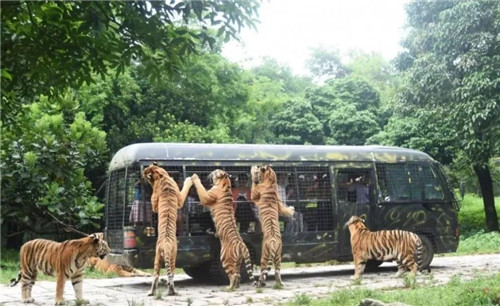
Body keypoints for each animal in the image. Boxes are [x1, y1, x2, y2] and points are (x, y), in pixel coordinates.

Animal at [144, 165, 194, 296]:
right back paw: (171, 292)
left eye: (147, 168)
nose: (143, 171)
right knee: (170, 276)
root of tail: (166, 245)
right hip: (172, 257)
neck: (162, 176)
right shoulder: (179, 200)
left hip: (157, 258)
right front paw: (189, 180)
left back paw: (151, 293)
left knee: (156, 275)